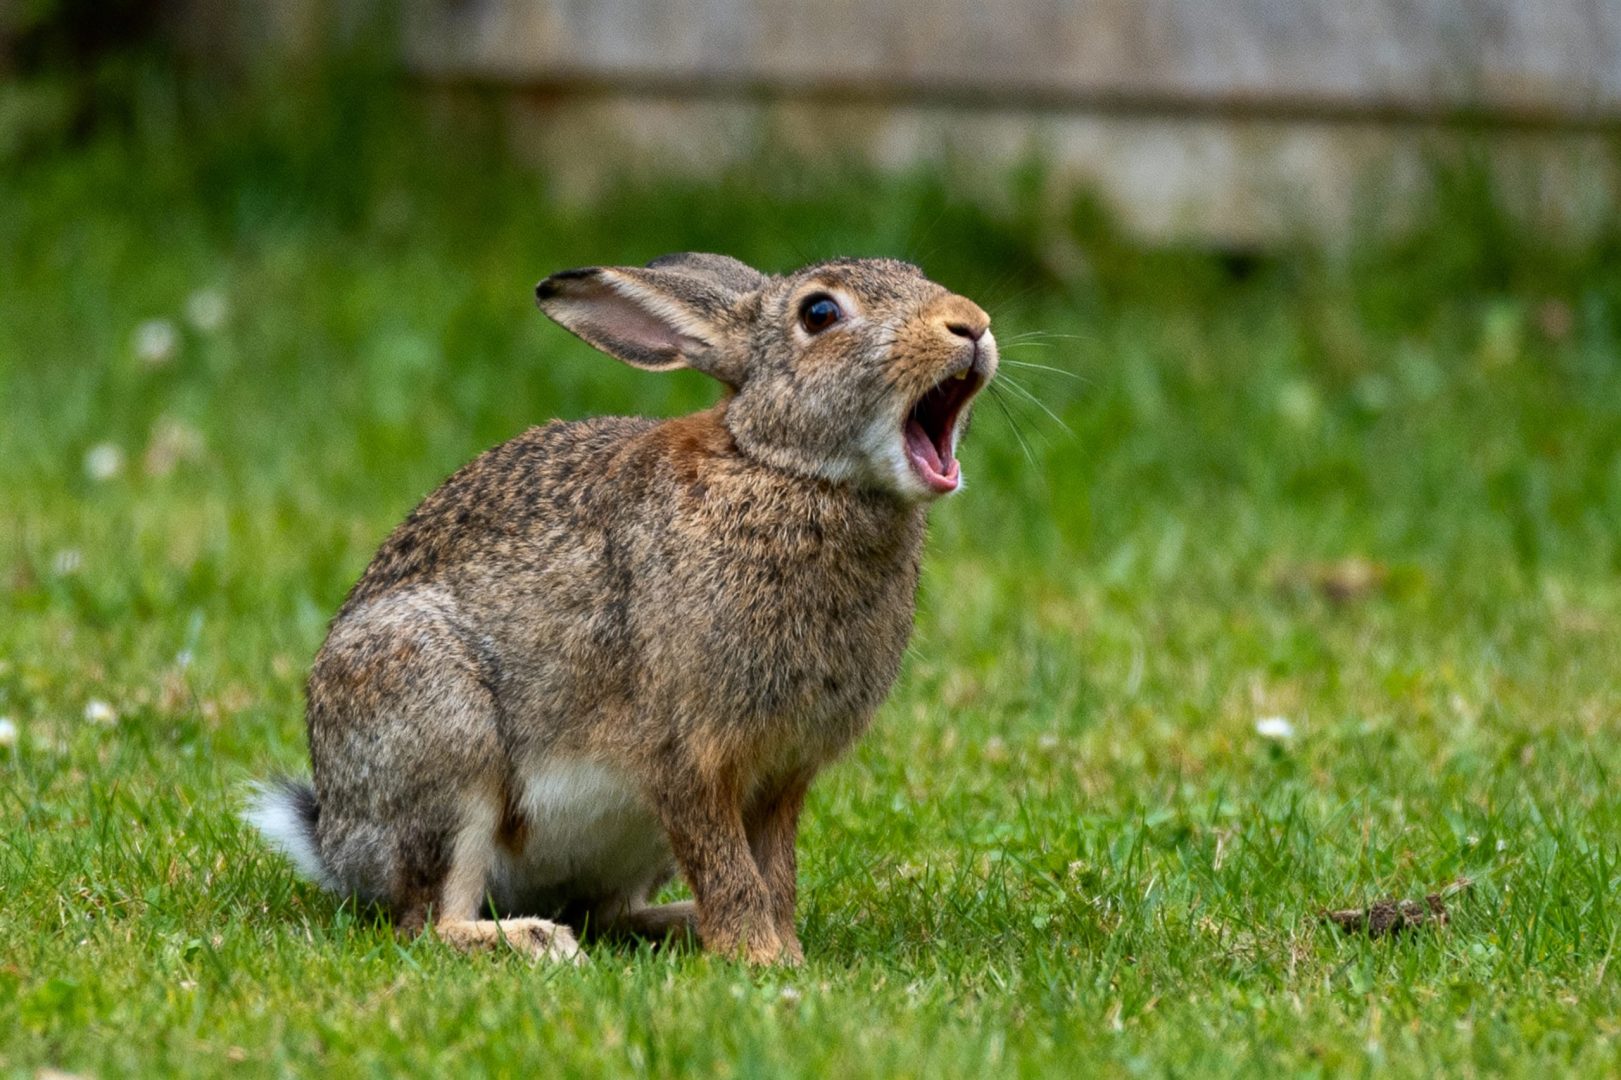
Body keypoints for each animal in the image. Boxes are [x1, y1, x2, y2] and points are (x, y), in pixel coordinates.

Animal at [246, 253, 997, 965]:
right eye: (819, 313)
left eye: (915, 274)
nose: (972, 325)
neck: (784, 467)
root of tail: (334, 842)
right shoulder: (685, 753)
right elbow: (729, 866)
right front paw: (760, 958)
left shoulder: (782, 775)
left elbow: (772, 872)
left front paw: (784, 950)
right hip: (438, 730)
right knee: (427, 921)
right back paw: (535, 942)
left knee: (606, 916)